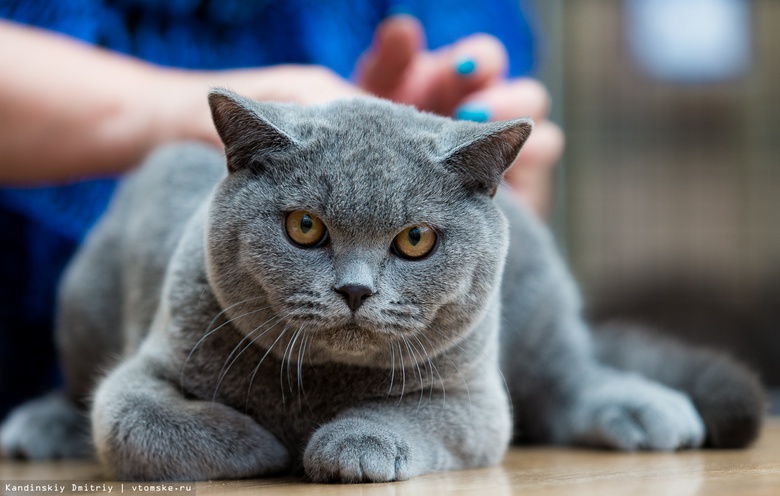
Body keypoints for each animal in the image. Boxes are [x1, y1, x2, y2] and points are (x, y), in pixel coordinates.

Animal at [0, 89, 764, 480]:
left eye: (415, 240)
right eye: (304, 227)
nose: (356, 291)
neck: (320, 387)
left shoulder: (474, 401)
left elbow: (413, 415)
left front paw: (348, 446)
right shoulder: (146, 369)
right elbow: (133, 419)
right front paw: (265, 446)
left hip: (539, 299)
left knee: (567, 377)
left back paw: (642, 409)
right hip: (85, 293)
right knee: (77, 387)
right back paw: (42, 425)